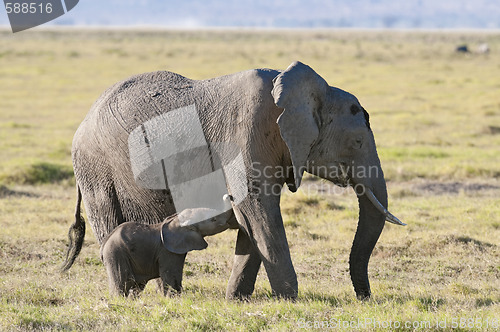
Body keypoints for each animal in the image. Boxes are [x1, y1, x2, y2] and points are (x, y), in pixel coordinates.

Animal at [102, 206, 235, 296]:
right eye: (214, 219)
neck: (176, 219)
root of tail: (104, 245)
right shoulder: (167, 252)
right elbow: (172, 277)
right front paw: (174, 298)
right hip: (116, 254)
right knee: (122, 284)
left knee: (137, 286)